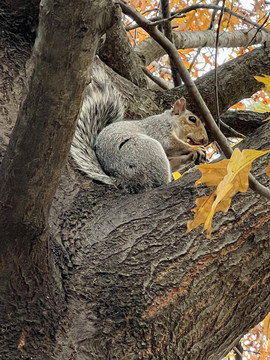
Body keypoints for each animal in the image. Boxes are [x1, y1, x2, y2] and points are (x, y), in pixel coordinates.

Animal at [70, 65, 208, 193]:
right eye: (192, 119)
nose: (205, 140)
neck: (172, 123)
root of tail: (123, 180)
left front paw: (192, 154)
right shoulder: (159, 129)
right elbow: (170, 144)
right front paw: (194, 148)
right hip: (147, 150)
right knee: (159, 182)